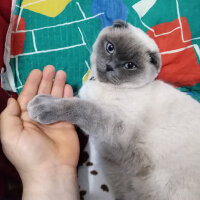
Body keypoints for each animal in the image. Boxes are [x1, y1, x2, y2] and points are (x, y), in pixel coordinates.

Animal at [27, 20, 200, 200]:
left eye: (129, 65)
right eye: (110, 48)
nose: (110, 66)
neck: (102, 85)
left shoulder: (117, 126)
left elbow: (80, 107)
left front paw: (41, 105)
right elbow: (76, 101)